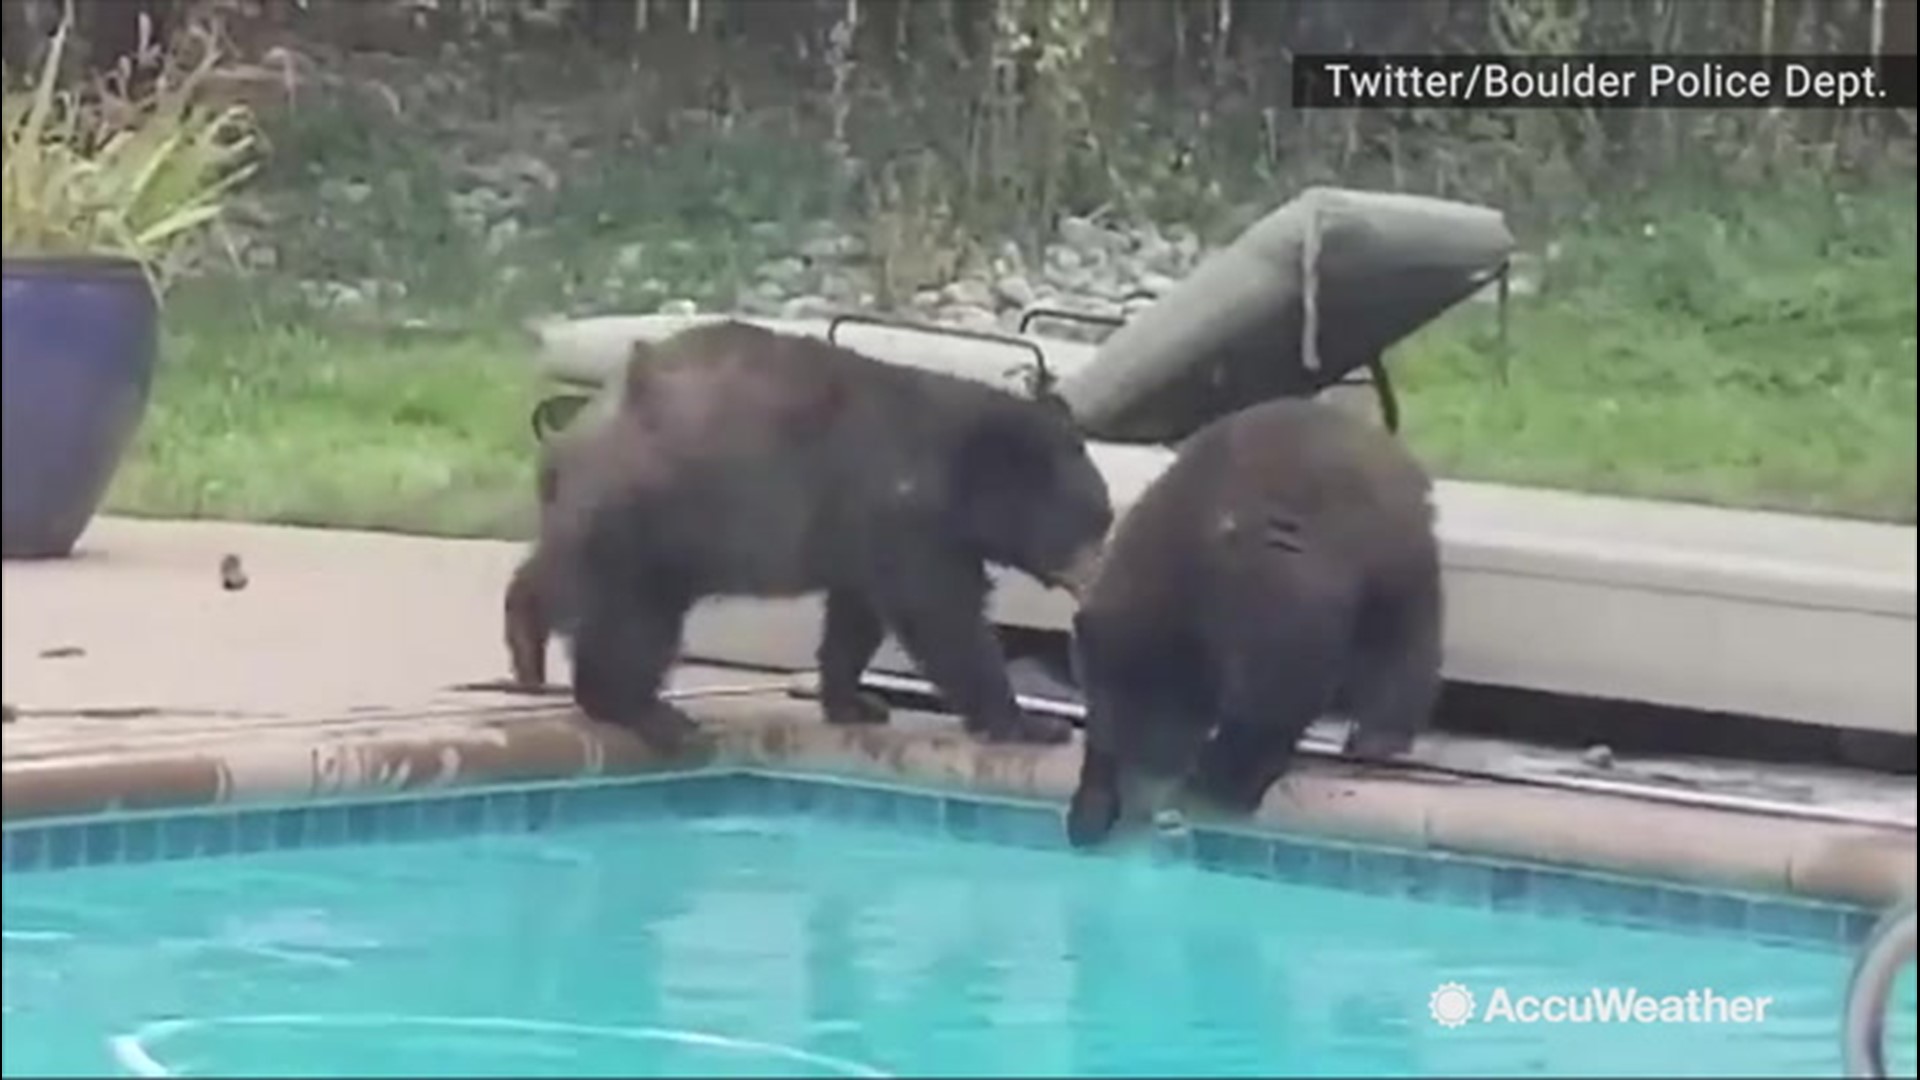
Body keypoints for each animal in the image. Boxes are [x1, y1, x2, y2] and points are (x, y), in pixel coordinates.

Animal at [506, 320, 1113, 749]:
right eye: (1096, 521)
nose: (1100, 578)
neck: (961, 476)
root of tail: (584, 421)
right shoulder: (905, 514)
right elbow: (944, 618)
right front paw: (1030, 724)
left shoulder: (866, 531)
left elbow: (856, 615)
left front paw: (855, 702)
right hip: (647, 518)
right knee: (631, 622)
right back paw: (644, 710)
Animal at [1067, 390, 1443, 845]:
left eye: (1153, 716)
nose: (1146, 775)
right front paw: (1091, 804)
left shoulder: (1270, 595)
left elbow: (1281, 691)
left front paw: (1224, 780)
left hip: (1396, 566)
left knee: (1401, 649)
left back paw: (1379, 739)